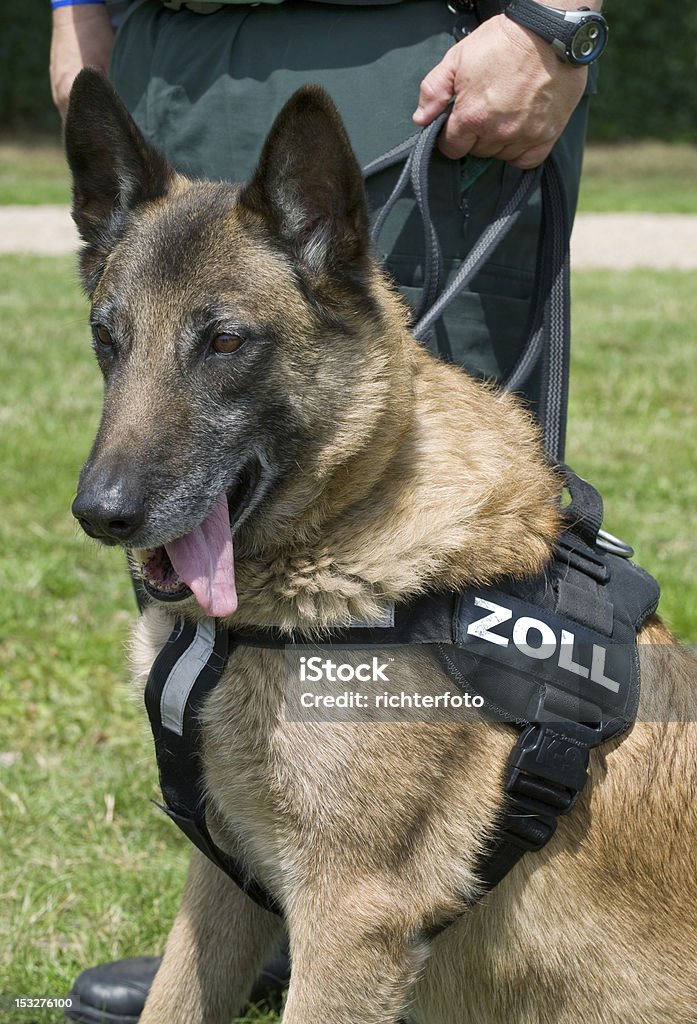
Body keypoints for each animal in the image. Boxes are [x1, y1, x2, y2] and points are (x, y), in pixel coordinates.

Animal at [63, 70, 691, 1024]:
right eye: (108, 338)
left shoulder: (351, 917)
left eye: (225, 342)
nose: (100, 513)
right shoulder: (227, 883)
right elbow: (172, 999)